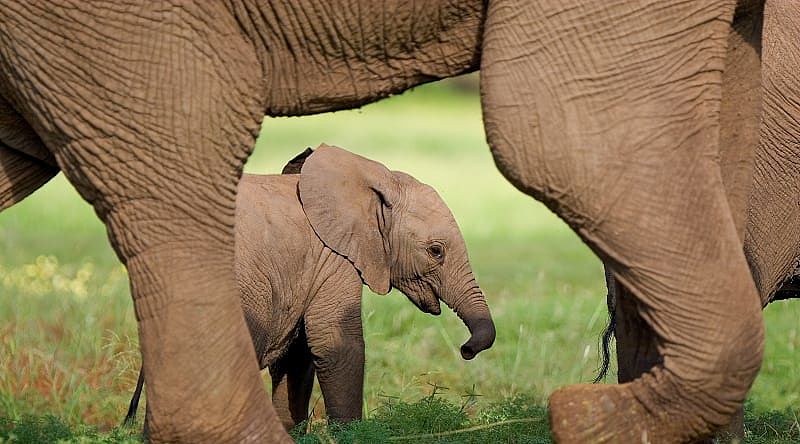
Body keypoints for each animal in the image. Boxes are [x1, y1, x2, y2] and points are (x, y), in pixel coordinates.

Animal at [124, 145, 494, 430]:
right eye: (436, 251)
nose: (465, 349)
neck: (373, 174)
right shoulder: (333, 257)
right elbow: (337, 344)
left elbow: (297, 355)